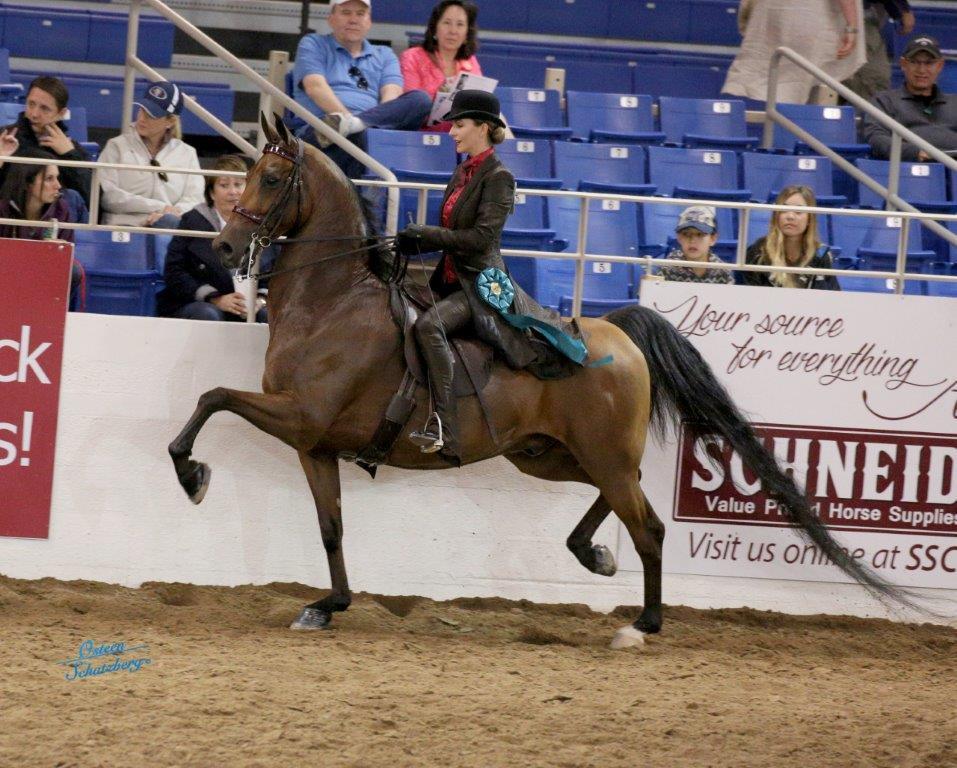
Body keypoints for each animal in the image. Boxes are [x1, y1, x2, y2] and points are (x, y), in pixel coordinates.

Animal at [168, 115, 906, 648]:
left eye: (270, 178)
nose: (225, 247)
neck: (332, 303)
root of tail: (615, 332)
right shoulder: (315, 445)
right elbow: (330, 530)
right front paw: (328, 605)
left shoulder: (301, 416)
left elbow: (212, 398)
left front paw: (192, 476)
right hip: (548, 456)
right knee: (628, 501)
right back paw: (593, 557)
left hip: (595, 454)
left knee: (648, 527)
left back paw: (642, 626)